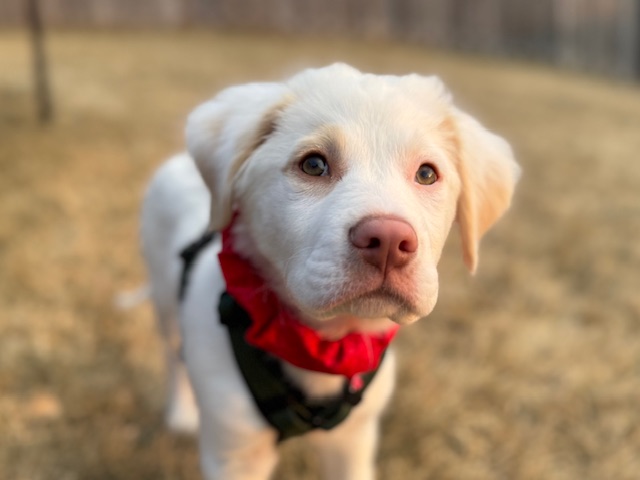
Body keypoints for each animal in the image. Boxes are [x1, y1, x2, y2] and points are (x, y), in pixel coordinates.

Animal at [140, 63, 520, 480]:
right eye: (313, 165)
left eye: (426, 174)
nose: (388, 240)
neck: (323, 347)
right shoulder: (234, 453)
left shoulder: (353, 441)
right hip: (165, 304)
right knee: (172, 356)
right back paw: (180, 414)